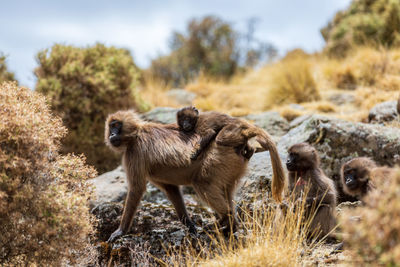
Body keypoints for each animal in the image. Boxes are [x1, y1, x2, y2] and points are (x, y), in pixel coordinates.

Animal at [104, 110, 286, 242]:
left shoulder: (134, 153)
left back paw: (226, 221)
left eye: (116, 125)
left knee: (202, 184)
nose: (111, 135)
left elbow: (136, 189)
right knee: (226, 191)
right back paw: (231, 226)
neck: (136, 133)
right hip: (232, 164)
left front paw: (120, 231)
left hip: (218, 155)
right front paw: (189, 225)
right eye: (111, 127)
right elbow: (171, 189)